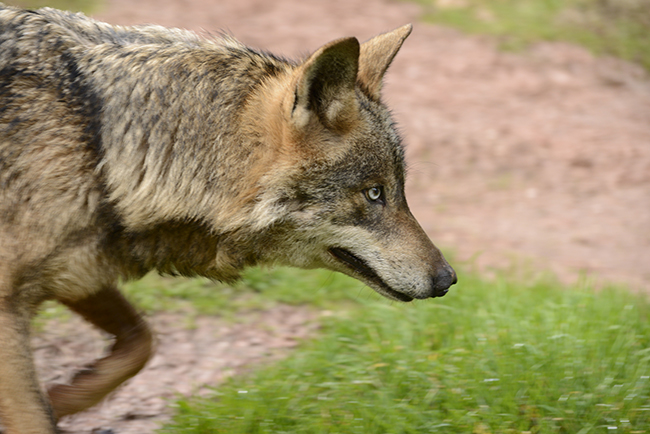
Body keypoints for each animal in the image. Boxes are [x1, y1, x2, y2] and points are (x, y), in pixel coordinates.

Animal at [0, 4, 456, 434]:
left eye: (399, 190)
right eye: (374, 193)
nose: (448, 279)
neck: (97, 146)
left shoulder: (79, 273)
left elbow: (141, 342)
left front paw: (64, 397)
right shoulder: (12, 306)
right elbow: (37, 415)